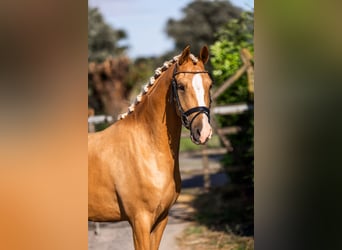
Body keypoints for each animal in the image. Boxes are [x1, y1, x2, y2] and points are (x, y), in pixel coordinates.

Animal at [87, 46, 212, 249]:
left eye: (210, 85)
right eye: (181, 86)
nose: (203, 131)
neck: (147, 149)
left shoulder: (161, 219)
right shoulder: (140, 221)